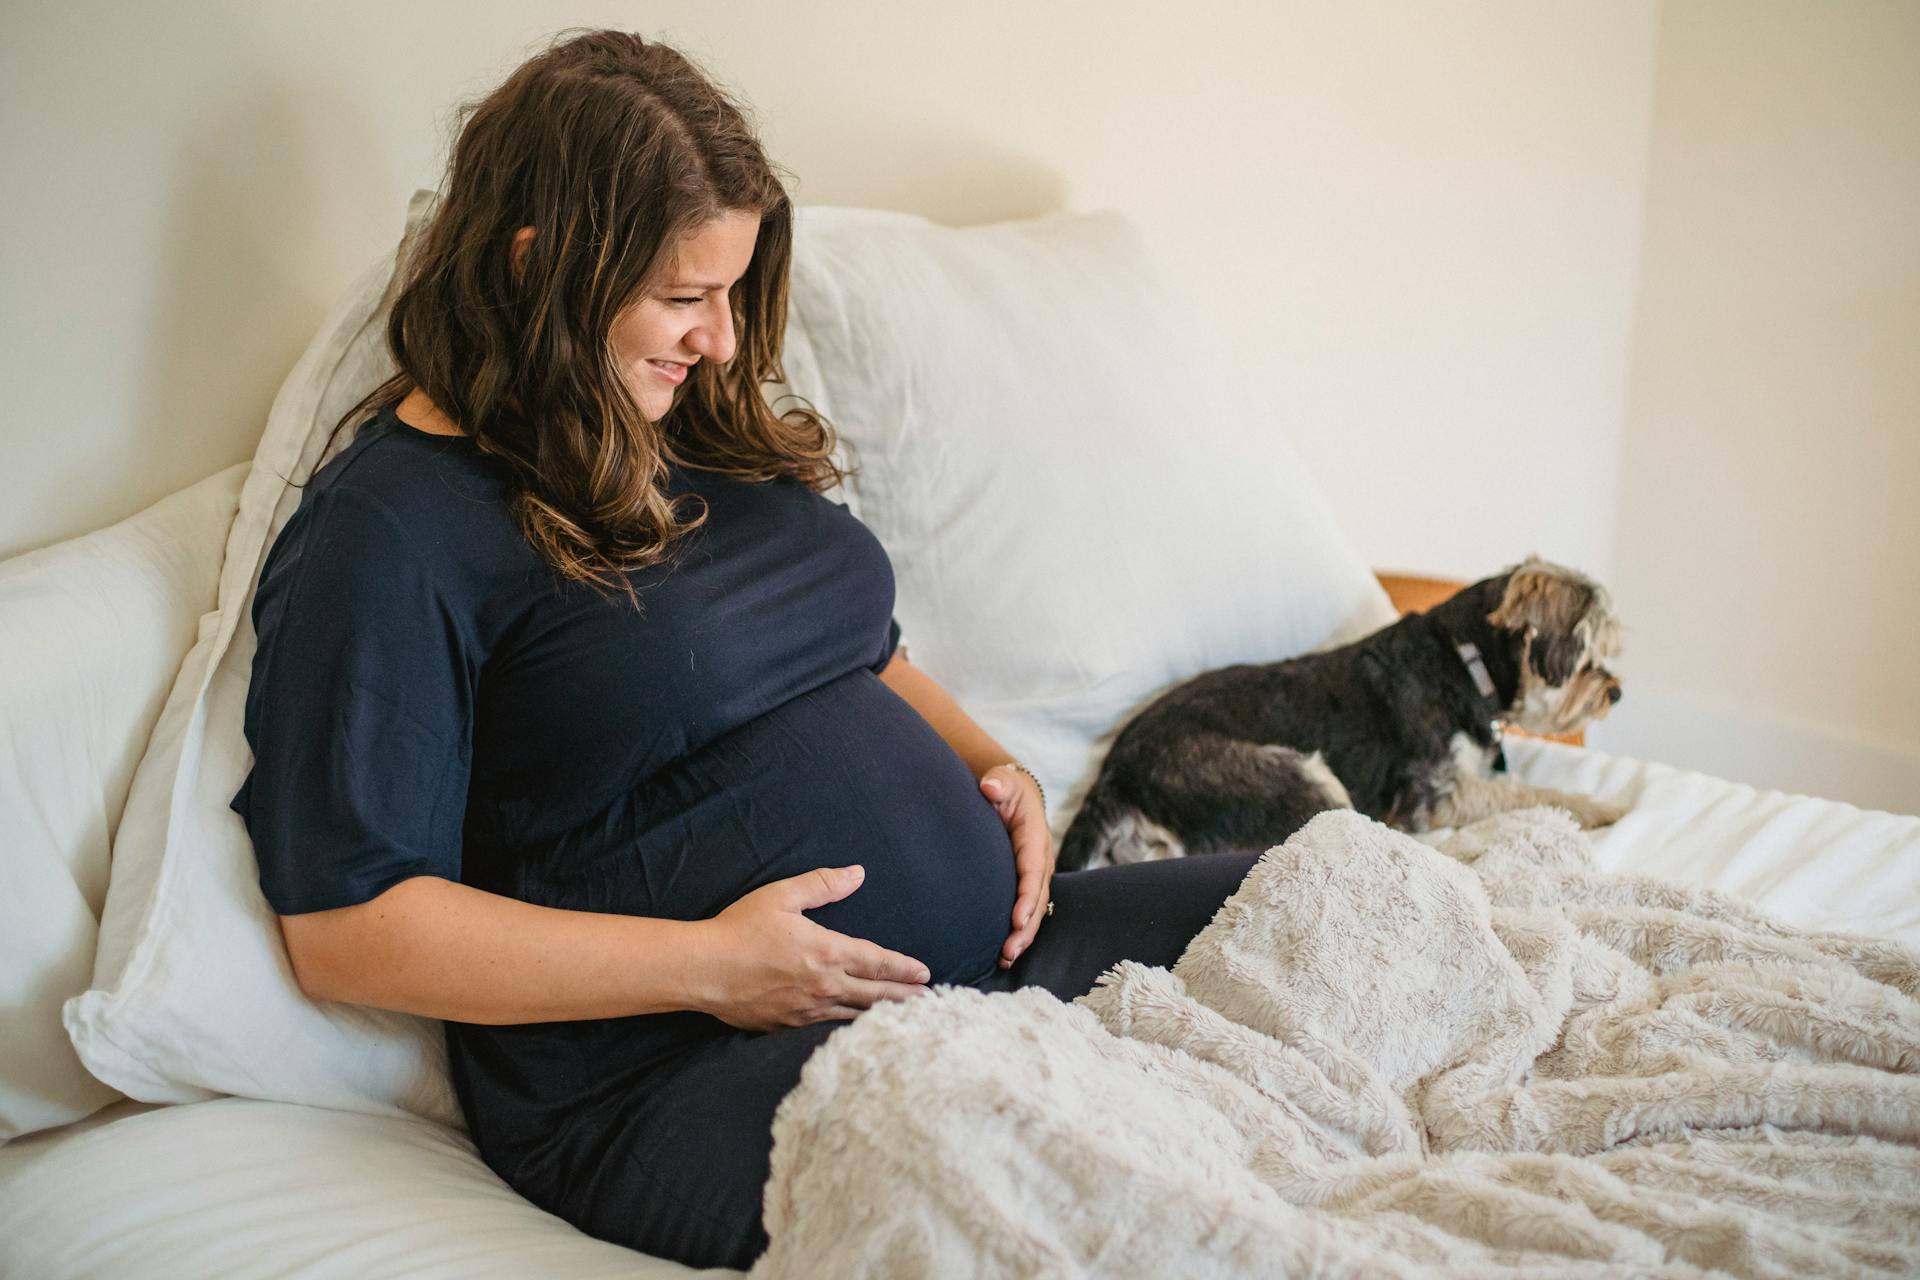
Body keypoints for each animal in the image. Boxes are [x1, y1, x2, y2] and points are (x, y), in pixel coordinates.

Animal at [1059, 556, 1628, 871]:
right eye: (1587, 658)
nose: (1617, 693)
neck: (1465, 661)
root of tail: (1116, 772)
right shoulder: (1438, 791)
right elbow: (1528, 792)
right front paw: (1602, 806)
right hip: (1288, 778)